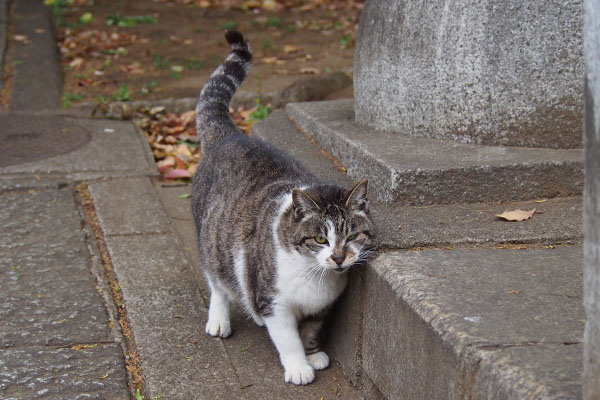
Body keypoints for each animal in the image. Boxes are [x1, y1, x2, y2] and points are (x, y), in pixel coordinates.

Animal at [192, 29, 372, 386]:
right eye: (320, 239)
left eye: (352, 235)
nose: (339, 258)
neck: (314, 277)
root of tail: (229, 135)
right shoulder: (274, 301)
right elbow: (288, 337)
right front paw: (299, 366)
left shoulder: (322, 307)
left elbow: (311, 330)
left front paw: (313, 353)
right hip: (212, 243)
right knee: (217, 283)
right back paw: (220, 319)